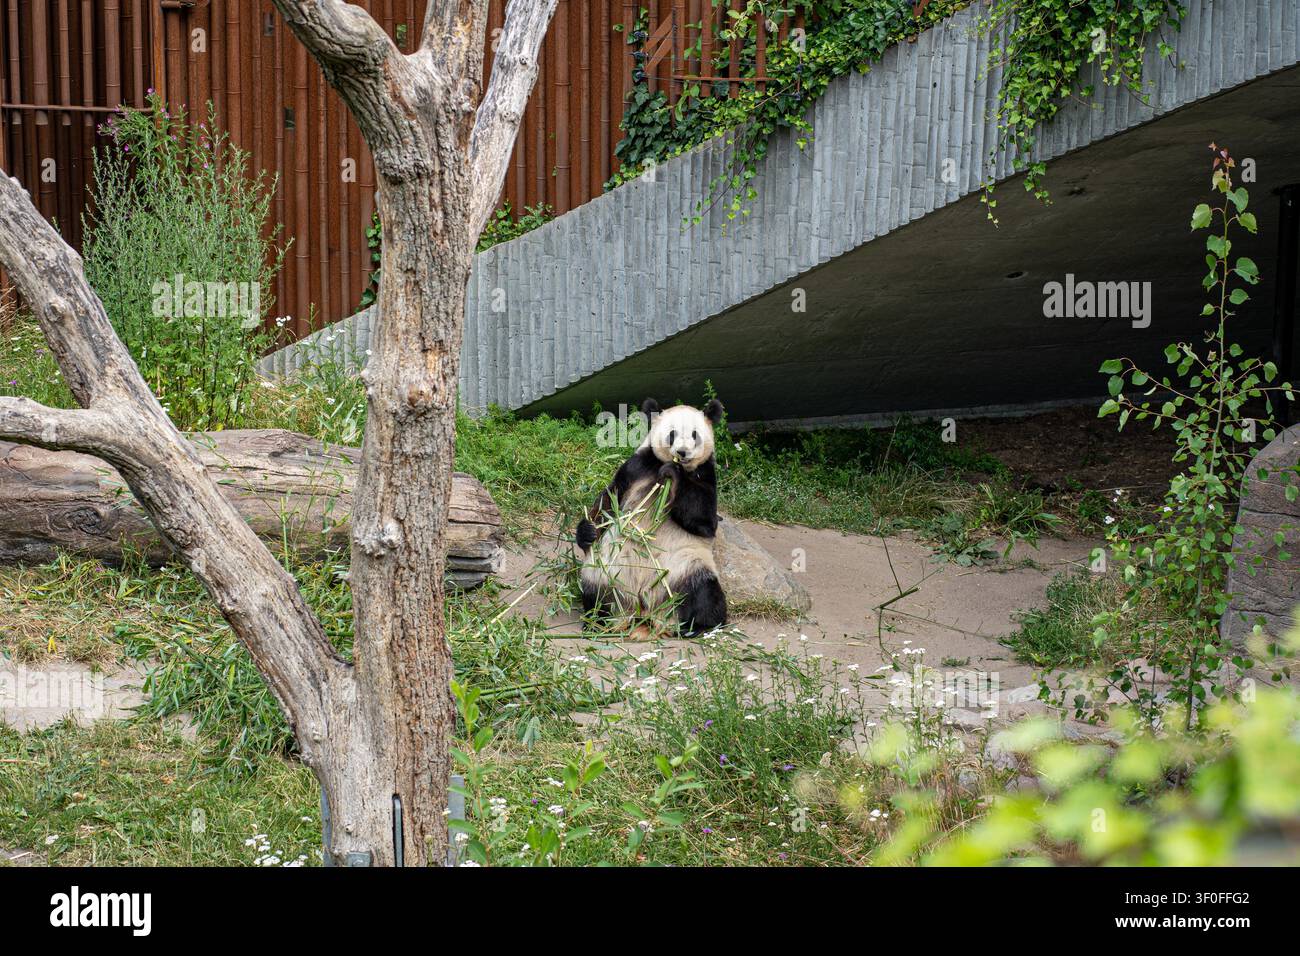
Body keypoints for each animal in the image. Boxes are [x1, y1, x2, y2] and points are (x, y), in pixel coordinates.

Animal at [575, 398, 728, 637]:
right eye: (672, 434)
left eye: (695, 434)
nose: (682, 453)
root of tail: (645, 612)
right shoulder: (635, 468)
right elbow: (608, 502)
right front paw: (587, 532)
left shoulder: (706, 474)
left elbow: (705, 521)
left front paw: (673, 472)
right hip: (609, 571)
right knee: (595, 589)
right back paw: (598, 623)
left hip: (684, 569)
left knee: (705, 594)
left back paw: (698, 626)